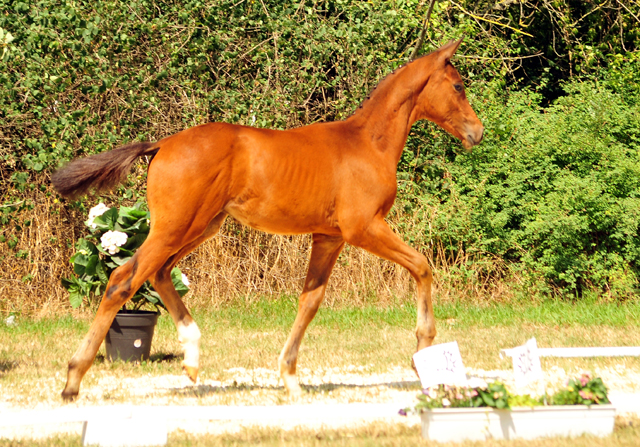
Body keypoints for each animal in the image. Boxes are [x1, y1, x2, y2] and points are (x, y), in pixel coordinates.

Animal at [53, 39, 480, 402]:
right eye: (458, 86)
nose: (477, 131)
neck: (368, 143)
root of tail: (161, 144)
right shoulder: (364, 227)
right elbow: (422, 266)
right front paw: (424, 353)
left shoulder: (329, 238)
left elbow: (310, 301)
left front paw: (290, 378)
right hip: (175, 228)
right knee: (121, 281)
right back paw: (73, 380)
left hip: (199, 227)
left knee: (158, 274)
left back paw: (192, 358)